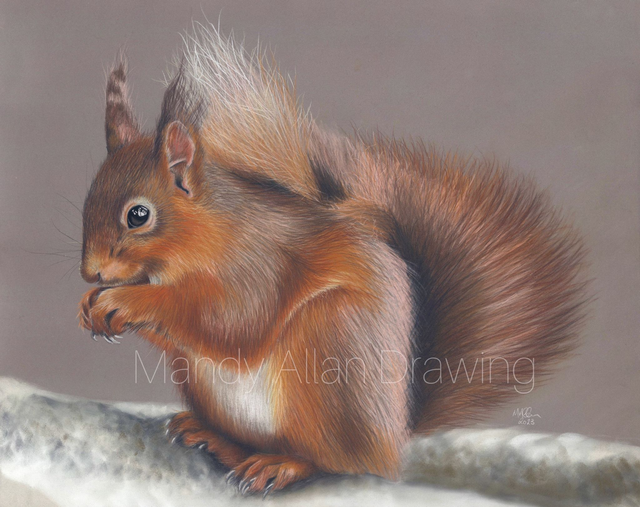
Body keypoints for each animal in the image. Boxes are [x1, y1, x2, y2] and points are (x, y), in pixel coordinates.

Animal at [78, 26, 587, 495]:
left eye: (138, 215)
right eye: (87, 200)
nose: (90, 272)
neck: (202, 238)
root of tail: (394, 439)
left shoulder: (261, 265)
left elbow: (231, 321)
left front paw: (125, 301)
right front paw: (90, 306)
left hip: (327, 348)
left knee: (331, 460)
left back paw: (280, 465)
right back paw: (215, 438)